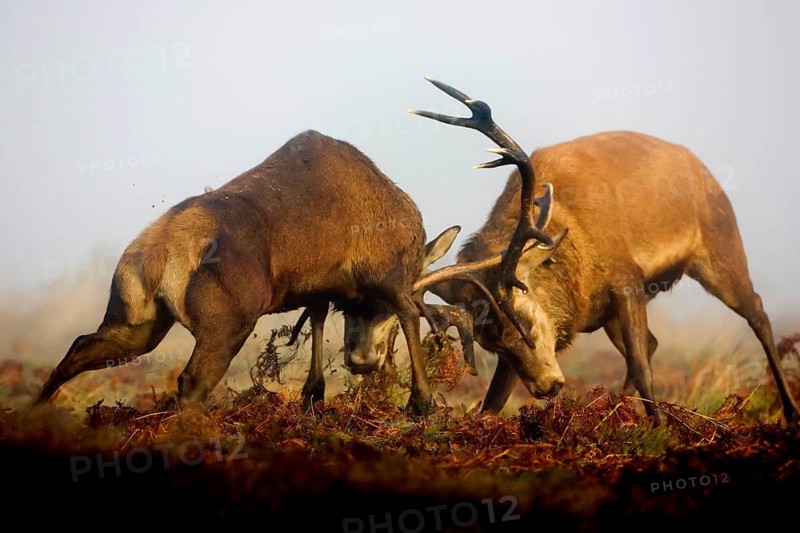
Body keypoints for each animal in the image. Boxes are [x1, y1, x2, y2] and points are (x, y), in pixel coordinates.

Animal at [31, 128, 531, 414]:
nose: (364, 362)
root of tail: (160, 250)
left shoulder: (321, 285)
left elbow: (317, 316)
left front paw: (314, 394)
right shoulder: (384, 275)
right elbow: (409, 313)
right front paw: (421, 401)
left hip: (137, 321)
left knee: (78, 348)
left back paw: (35, 416)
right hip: (228, 322)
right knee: (191, 383)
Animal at [348, 78, 799, 423]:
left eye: (527, 320)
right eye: (493, 343)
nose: (548, 387)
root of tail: (699, 165)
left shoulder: (626, 278)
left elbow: (643, 367)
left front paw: (662, 429)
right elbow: (492, 402)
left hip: (720, 244)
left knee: (757, 312)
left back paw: (790, 410)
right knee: (654, 342)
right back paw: (615, 406)